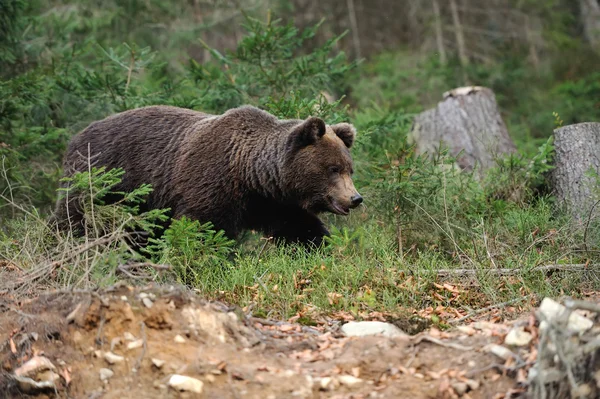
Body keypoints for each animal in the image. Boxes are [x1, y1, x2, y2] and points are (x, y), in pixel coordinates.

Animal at [52, 104, 360, 245]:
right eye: (333, 169)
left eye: (349, 169)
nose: (356, 198)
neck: (249, 174)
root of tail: (74, 138)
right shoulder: (210, 183)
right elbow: (202, 228)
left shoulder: (272, 202)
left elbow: (299, 227)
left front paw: (319, 247)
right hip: (105, 179)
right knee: (74, 217)